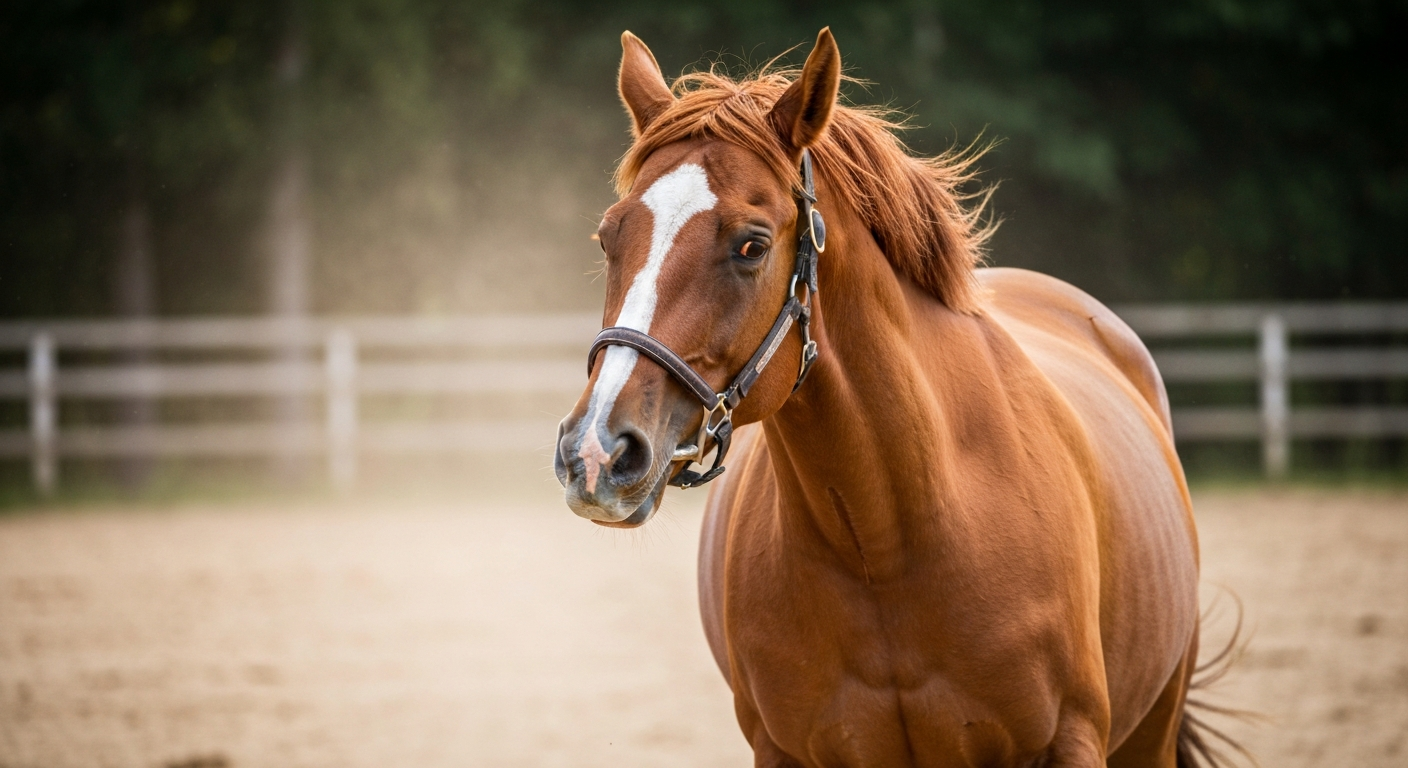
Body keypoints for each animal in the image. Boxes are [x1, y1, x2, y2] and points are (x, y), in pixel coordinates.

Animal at [555, 27, 1243, 768]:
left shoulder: (1070, 742)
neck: (887, 543)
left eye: (751, 245)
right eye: (609, 236)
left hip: (1152, 728)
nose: (597, 452)